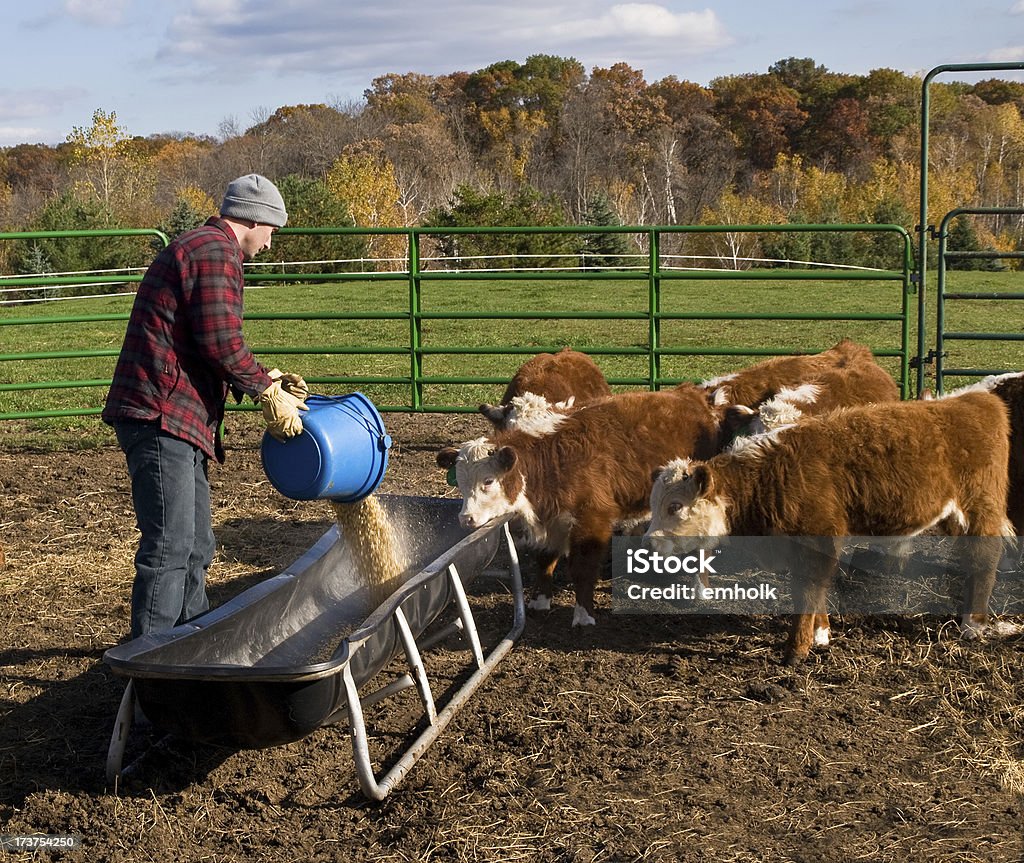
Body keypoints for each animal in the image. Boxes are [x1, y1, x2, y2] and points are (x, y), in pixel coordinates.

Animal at [436, 389, 724, 622]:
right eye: (460, 482)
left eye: (488, 481)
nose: (466, 518)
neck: (553, 460)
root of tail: (691, 395)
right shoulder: (550, 522)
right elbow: (545, 560)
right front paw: (540, 601)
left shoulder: (592, 521)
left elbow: (583, 569)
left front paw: (584, 615)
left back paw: (700, 589)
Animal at [643, 391, 1011, 667]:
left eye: (674, 506)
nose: (649, 544)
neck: (774, 473)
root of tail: (973, 399)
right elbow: (813, 590)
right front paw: (820, 634)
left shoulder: (819, 538)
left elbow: (808, 590)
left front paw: (796, 649)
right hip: (954, 517)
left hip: (980, 509)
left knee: (984, 560)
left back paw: (974, 624)